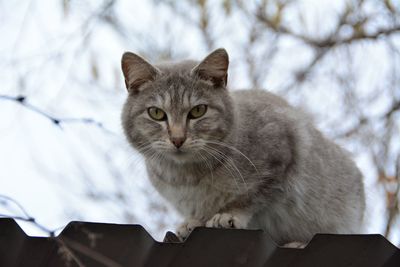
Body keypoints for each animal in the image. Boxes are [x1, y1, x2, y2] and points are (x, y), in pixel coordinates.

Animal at [119, 48, 366, 247]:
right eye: (156, 113)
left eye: (198, 111)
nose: (178, 139)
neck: (187, 175)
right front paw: (193, 222)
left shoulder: (281, 153)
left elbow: (249, 197)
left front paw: (227, 215)